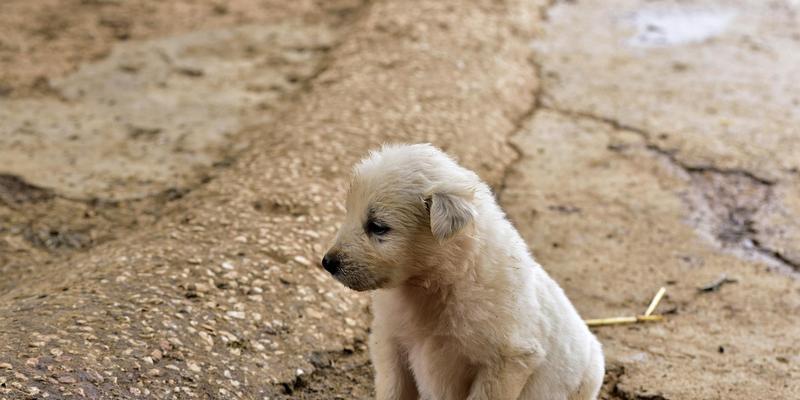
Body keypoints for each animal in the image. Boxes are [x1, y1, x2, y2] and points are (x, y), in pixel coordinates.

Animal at [322, 144, 604, 400]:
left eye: (378, 227)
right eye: (348, 213)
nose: (327, 263)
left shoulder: (509, 359)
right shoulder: (391, 343)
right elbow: (393, 389)